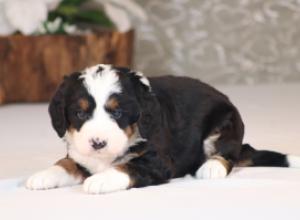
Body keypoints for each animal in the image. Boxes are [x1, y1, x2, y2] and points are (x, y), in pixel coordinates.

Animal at [25, 64, 300, 194]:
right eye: (80, 113)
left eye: (117, 113)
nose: (98, 143)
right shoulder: (80, 153)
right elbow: (67, 162)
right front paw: (44, 175)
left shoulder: (157, 161)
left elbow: (128, 166)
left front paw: (101, 179)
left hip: (227, 122)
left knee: (229, 152)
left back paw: (211, 167)